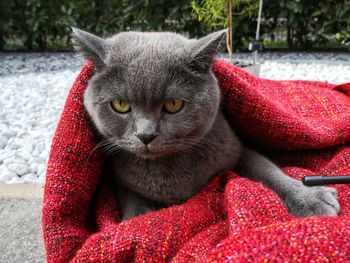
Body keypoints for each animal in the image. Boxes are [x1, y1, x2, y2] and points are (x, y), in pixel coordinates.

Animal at [71, 27, 340, 221]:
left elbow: (268, 170)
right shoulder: (119, 178)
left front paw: (310, 198)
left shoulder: (236, 150)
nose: (145, 135)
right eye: (120, 105)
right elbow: (131, 199)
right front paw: (136, 221)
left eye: (174, 105)